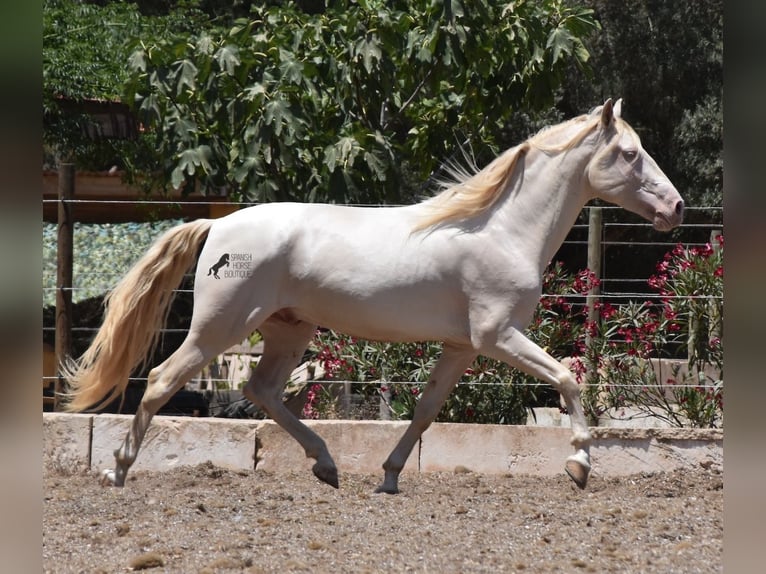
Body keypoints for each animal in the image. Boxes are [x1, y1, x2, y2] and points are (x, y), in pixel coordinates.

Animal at [61, 100, 684, 496]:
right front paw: (579, 464)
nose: (675, 208)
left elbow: (426, 409)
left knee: (262, 391)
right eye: (630, 153)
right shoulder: (498, 336)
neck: (501, 229)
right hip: (222, 326)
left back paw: (326, 466)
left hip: (289, 330)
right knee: (161, 380)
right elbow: (566, 378)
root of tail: (217, 226)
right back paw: (118, 471)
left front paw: (388, 476)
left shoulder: (463, 346)